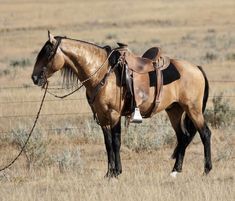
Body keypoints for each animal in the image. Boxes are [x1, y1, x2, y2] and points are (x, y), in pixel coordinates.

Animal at [31, 31, 213, 177]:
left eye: (48, 52)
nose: (34, 78)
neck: (102, 74)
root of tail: (196, 68)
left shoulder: (114, 115)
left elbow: (116, 141)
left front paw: (117, 171)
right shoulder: (102, 117)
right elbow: (108, 144)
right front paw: (109, 173)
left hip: (193, 109)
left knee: (205, 133)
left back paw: (206, 169)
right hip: (174, 110)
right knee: (183, 136)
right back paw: (175, 170)